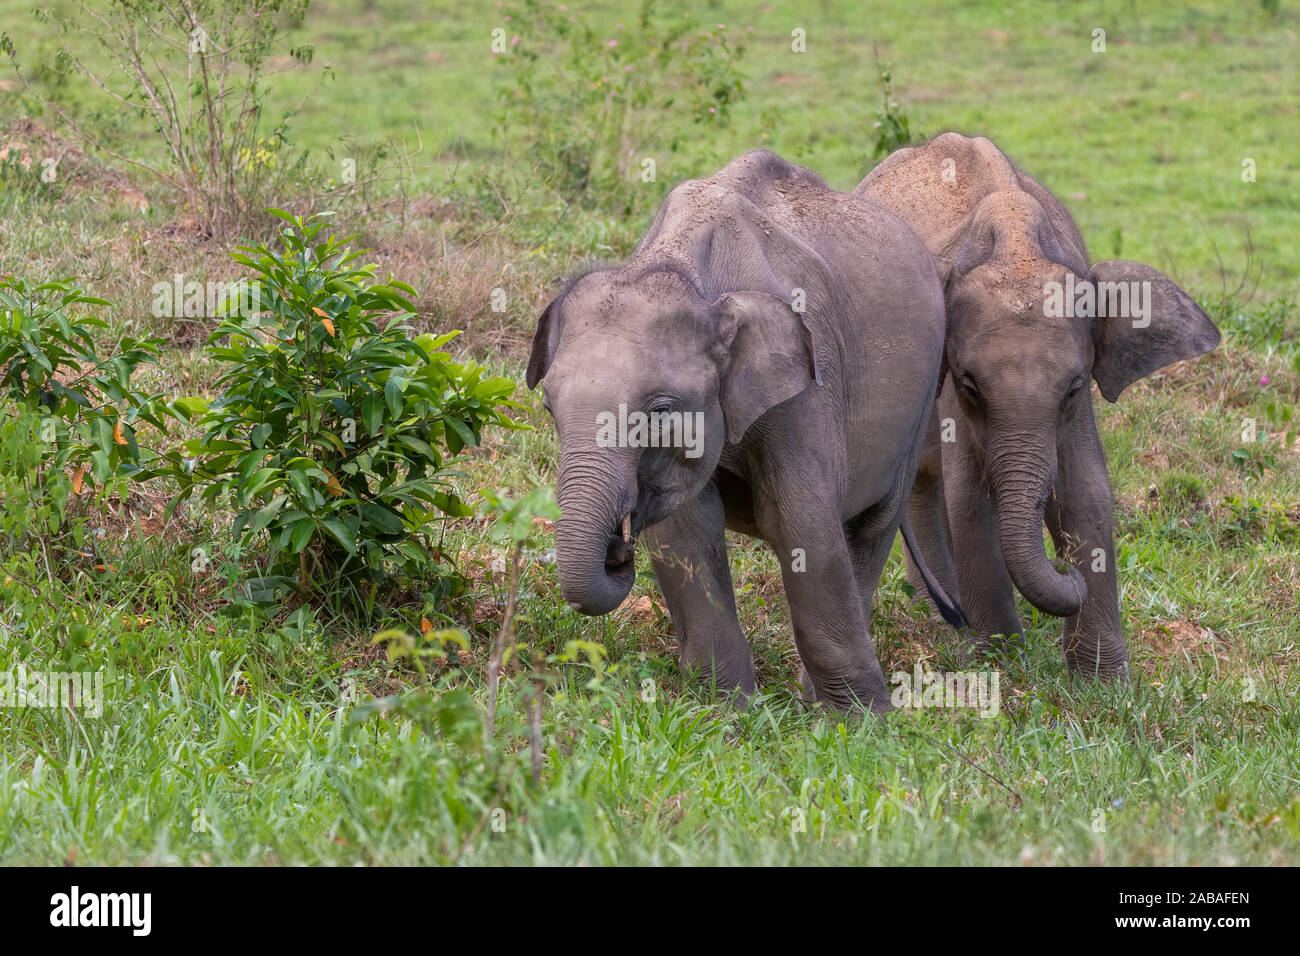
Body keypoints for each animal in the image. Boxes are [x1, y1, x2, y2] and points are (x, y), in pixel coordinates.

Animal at [522, 149, 961, 712]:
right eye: (550, 407)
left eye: (660, 410)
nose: (618, 548)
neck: (689, 273)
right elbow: (686, 530)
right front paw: (726, 708)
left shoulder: (805, 389)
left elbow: (799, 524)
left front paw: (867, 719)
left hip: (921, 397)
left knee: (871, 526)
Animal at [852, 132, 1216, 681]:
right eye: (970, 385)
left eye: (1072, 388)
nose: (1065, 567)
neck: (1017, 245)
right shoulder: (949, 389)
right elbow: (970, 500)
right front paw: (1001, 665)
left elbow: (1086, 491)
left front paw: (1103, 683)